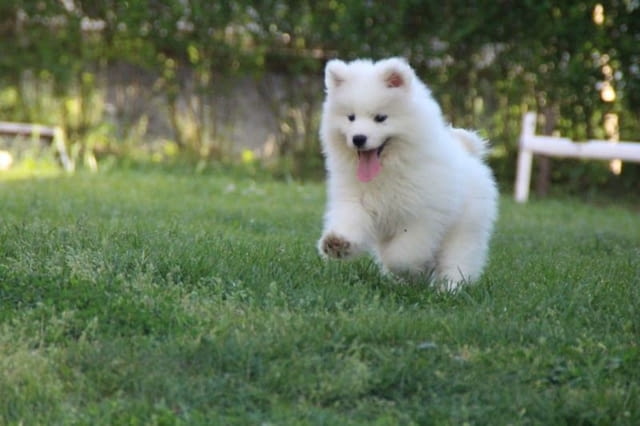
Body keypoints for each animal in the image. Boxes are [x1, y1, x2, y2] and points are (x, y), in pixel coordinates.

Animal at [318, 57, 498, 290]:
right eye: (350, 117)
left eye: (380, 118)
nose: (358, 138)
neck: (388, 169)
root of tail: (468, 153)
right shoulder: (355, 200)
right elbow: (350, 221)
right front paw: (338, 243)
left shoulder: (422, 216)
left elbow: (403, 254)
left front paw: (407, 267)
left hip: (466, 226)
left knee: (458, 259)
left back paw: (450, 288)